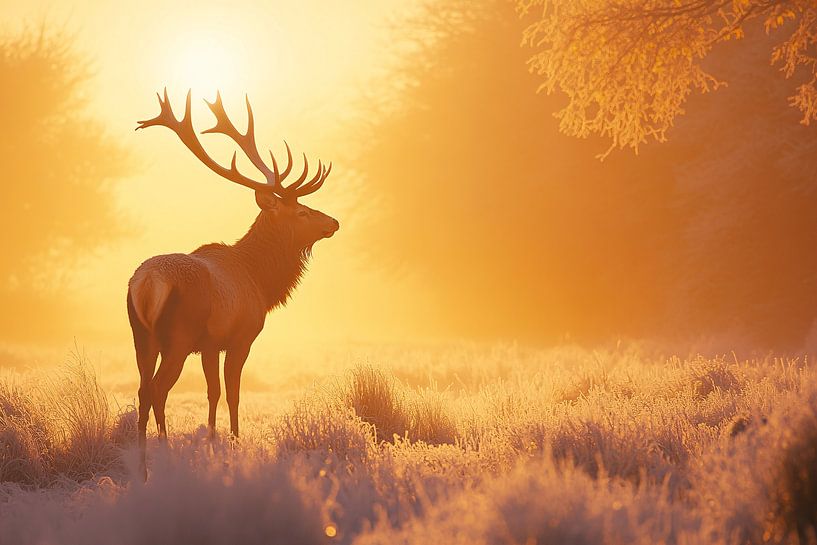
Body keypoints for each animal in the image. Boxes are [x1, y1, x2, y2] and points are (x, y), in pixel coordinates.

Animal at [127, 90, 339, 479]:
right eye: (302, 211)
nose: (333, 222)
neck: (261, 282)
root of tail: (147, 284)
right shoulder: (240, 338)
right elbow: (233, 393)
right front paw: (232, 447)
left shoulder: (210, 345)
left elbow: (212, 392)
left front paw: (212, 445)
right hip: (177, 338)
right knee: (159, 390)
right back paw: (164, 457)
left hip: (141, 336)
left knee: (142, 390)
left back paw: (143, 470)